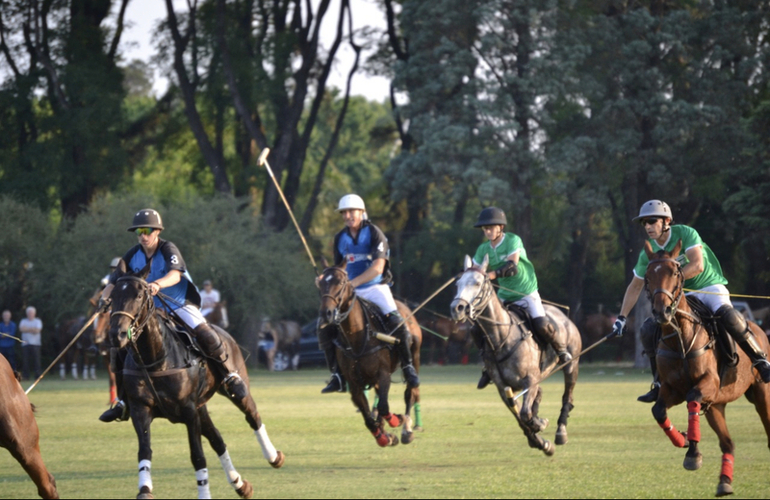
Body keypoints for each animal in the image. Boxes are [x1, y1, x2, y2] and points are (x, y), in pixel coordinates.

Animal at [109, 260, 284, 498]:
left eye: (138, 295)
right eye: (113, 295)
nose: (116, 334)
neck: (154, 359)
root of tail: (222, 331)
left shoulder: (189, 411)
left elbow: (197, 456)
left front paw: (204, 493)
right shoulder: (140, 409)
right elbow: (144, 450)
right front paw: (144, 489)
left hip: (234, 389)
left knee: (252, 416)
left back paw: (273, 457)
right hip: (201, 406)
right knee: (218, 439)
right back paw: (240, 484)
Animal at [316, 266, 424, 446]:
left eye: (341, 282)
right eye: (321, 283)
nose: (326, 314)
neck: (356, 337)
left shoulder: (383, 374)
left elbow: (384, 407)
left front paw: (397, 421)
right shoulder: (354, 384)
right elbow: (368, 417)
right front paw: (383, 437)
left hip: (414, 355)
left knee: (411, 391)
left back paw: (407, 429)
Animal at [448, 256, 580, 456]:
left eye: (478, 283)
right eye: (458, 283)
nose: (457, 308)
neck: (501, 339)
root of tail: (564, 316)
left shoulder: (530, 378)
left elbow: (525, 414)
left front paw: (539, 425)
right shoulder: (504, 388)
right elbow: (520, 418)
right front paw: (540, 442)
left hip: (572, 364)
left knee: (567, 396)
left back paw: (561, 431)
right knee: (539, 395)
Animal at [640, 239, 768, 496]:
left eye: (675, 272)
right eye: (648, 276)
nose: (662, 312)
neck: (680, 339)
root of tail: (759, 329)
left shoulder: (708, 383)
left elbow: (692, 397)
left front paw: (692, 453)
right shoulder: (672, 389)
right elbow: (658, 410)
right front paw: (684, 440)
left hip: (761, 392)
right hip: (716, 406)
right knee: (728, 442)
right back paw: (724, 482)